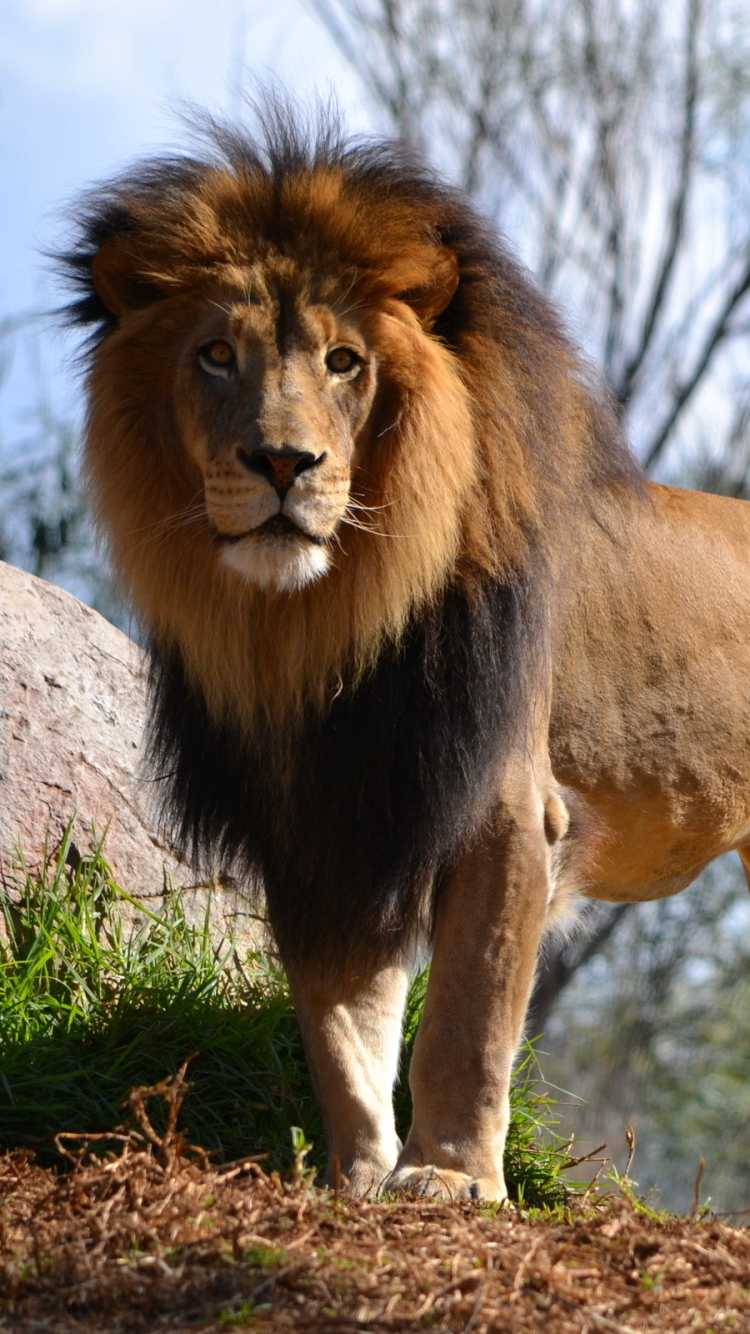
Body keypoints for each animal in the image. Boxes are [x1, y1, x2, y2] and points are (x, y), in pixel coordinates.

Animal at [59, 109, 750, 1205]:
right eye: (215, 354)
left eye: (345, 361)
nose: (283, 461)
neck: (323, 621)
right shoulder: (315, 814)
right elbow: (341, 1026)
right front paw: (358, 1174)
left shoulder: (506, 801)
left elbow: (467, 1011)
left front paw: (450, 1176)